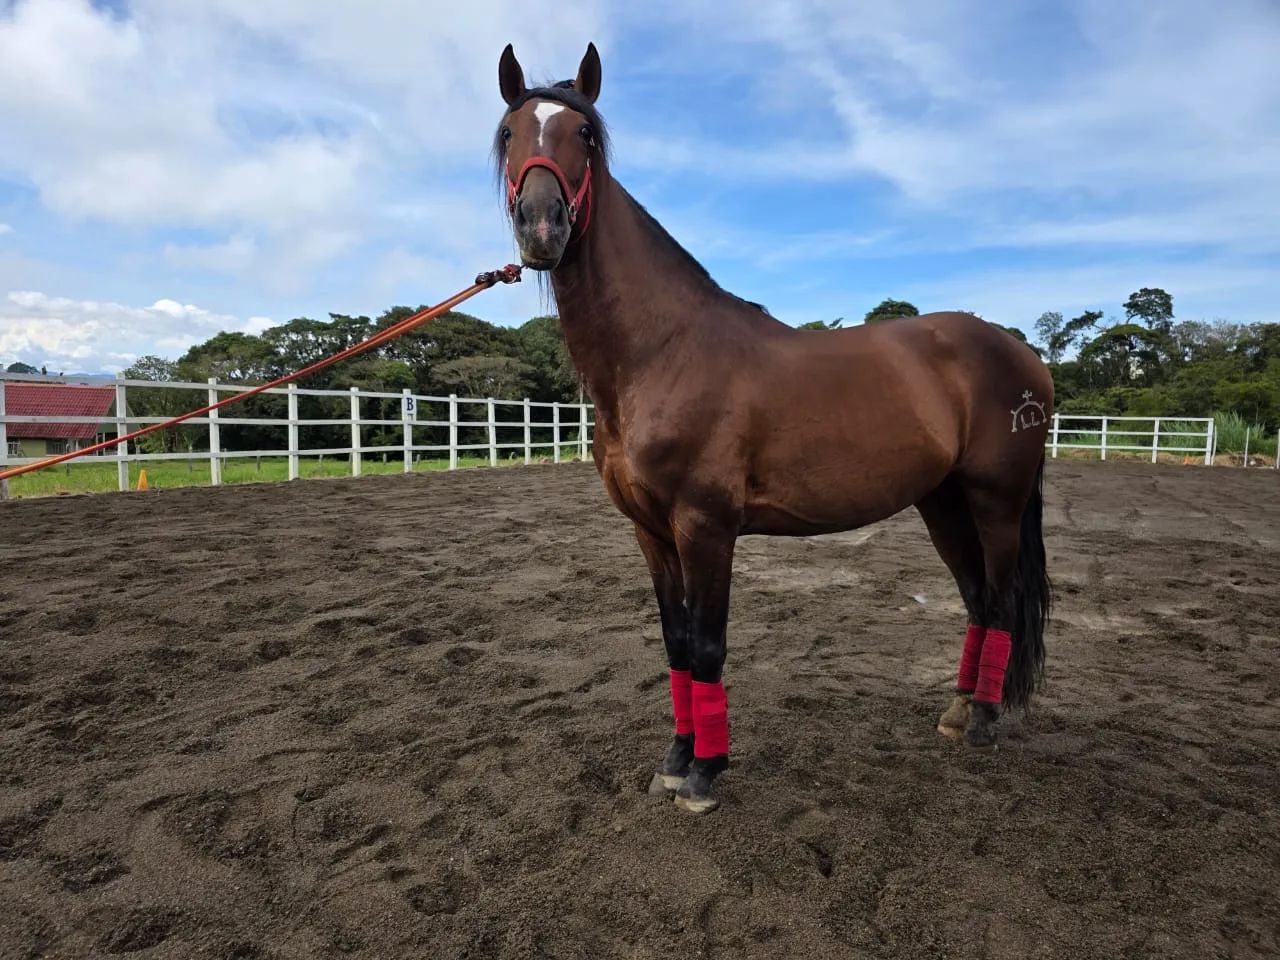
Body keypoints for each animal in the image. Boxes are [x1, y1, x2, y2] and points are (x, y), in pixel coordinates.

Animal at [494, 43, 1053, 813]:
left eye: (583, 133)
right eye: (509, 131)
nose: (541, 226)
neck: (661, 351)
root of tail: (1025, 356)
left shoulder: (706, 526)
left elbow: (707, 644)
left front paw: (705, 773)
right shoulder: (650, 532)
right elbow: (675, 643)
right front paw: (675, 758)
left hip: (996, 502)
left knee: (999, 601)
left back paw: (985, 722)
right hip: (942, 503)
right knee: (974, 598)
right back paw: (959, 708)